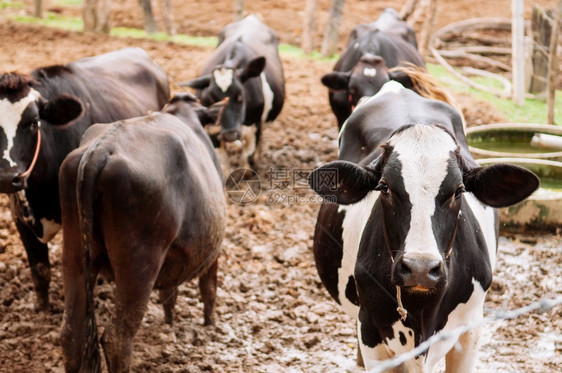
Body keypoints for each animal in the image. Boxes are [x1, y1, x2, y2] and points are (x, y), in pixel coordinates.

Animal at [57, 93, 223, 372]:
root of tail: (102, 148)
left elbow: (170, 294)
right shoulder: (214, 253)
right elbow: (208, 289)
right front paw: (210, 325)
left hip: (74, 251)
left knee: (71, 334)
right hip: (139, 263)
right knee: (116, 338)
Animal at [180, 14, 284, 169]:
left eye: (240, 95)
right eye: (212, 98)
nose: (229, 134)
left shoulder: (256, 125)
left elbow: (248, 157)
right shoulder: (211, 127)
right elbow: (223, 163)